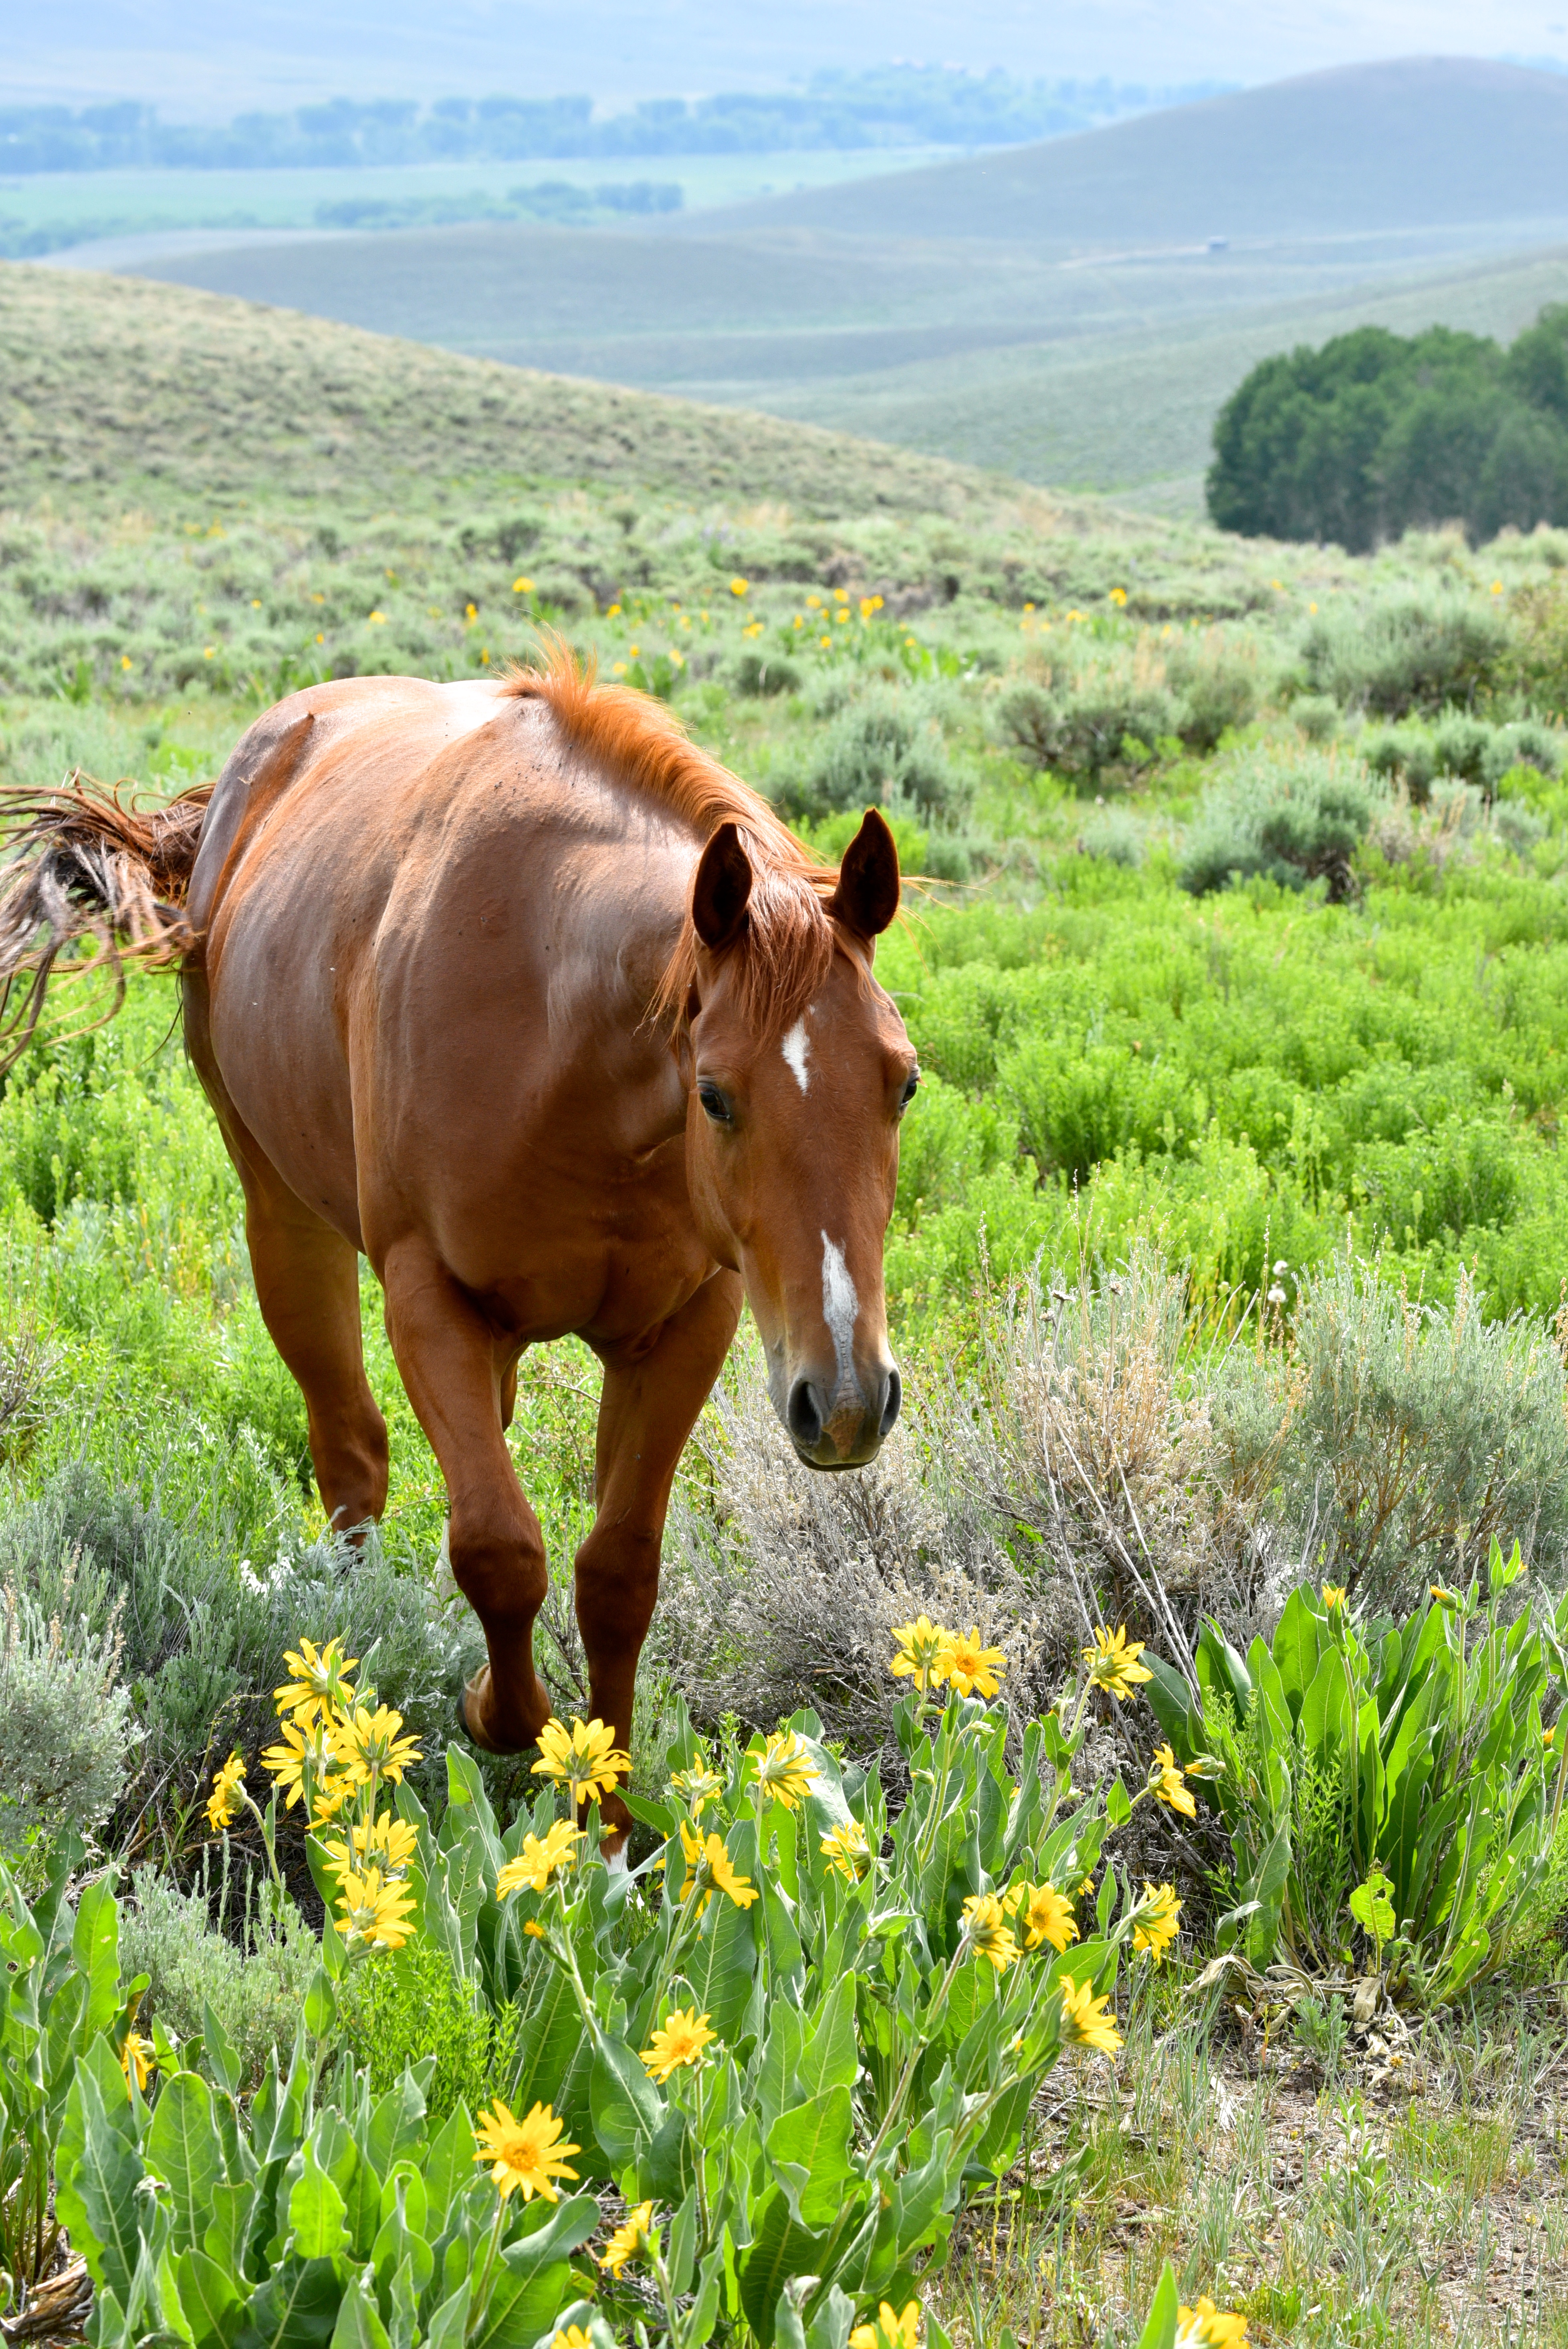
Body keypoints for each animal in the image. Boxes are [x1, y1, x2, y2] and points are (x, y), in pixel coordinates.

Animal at [0, 643, 920, 1832]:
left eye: (904, 1080)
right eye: (716, 1096)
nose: (847, 1399)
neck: (567, 1042)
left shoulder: (688, 1322)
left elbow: (617, 1572)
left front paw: (607, 1819)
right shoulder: (428, 1298)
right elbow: (499, 1548)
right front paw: (496, 1709)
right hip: (284, 1223)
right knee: (352, 1459)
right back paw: (346, 1675)